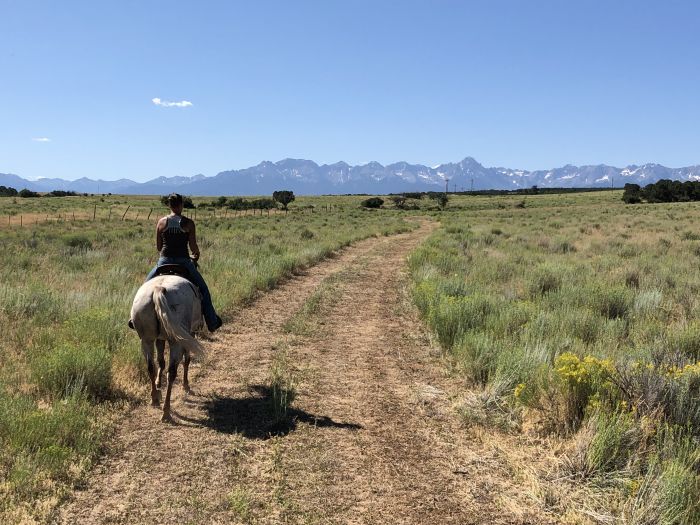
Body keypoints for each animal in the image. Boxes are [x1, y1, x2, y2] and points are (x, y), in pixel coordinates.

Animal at [130, 274, 204, 422]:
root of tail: (159, 289)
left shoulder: (159, 338)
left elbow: (160, 362)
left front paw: (158, 383)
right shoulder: (188, 336)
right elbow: (186, 361)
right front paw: (186, 386)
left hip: (146, 340)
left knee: (150, 367)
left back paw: (155, 398)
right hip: (176, 342)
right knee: (172, 373)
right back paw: (166, 411)